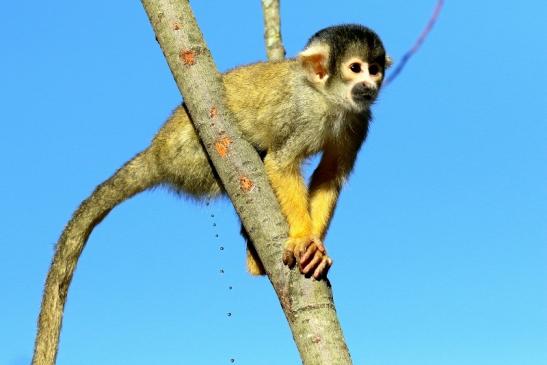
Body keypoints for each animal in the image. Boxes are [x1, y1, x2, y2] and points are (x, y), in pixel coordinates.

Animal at [33, 24, 390, 362]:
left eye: (374, 69)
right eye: (355, 68)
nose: (370, 85)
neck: (328, 99)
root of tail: (156, 152)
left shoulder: (359, 120)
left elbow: (330, 176)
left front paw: (316, 246)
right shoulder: (300, 114)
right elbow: (281, 163)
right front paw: (303, 236)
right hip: (194, 156)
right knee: (256, 160)